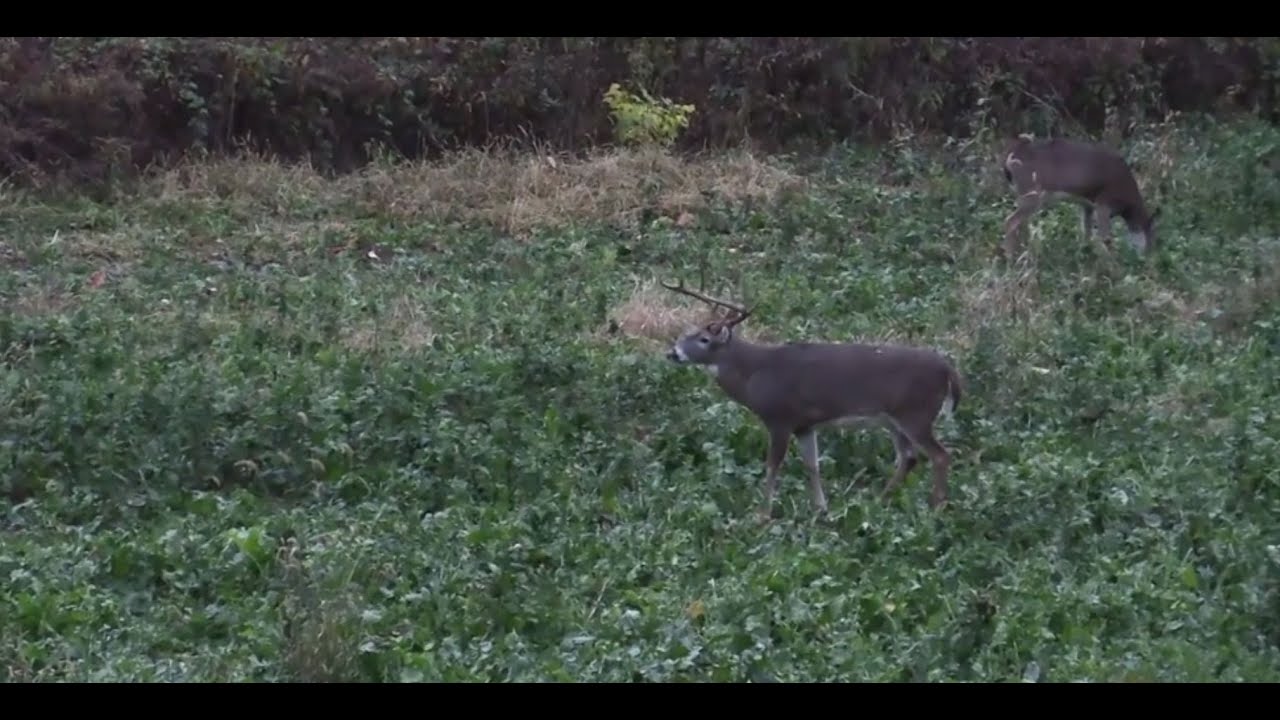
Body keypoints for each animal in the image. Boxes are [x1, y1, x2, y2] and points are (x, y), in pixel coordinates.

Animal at [661, 279, 964, 523]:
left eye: (703, 339)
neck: (754, 374)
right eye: (684, 333)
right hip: (894, 419)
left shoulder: (780, 418)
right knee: (909, 457)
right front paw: (821, 510)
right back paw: (880, 502)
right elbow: (812, 465)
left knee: (940, 455)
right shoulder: (805, 424)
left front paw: (762, 515)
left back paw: (937, 507)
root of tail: (949, 371)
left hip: (916, 412)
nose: (672, 353)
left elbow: (772, 465)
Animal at [1001, 135, 1161, 260]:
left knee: (1021, 223)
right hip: (1032, 194)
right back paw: (1010, 259)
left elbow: (1087, 232)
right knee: (1010, 221)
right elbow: (1105, 238)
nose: (1148, 256)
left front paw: (1085, 254)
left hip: (1024, 194)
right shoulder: (1103, 202)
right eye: (1151, 237)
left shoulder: (1088, 205)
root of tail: (1009, 159)